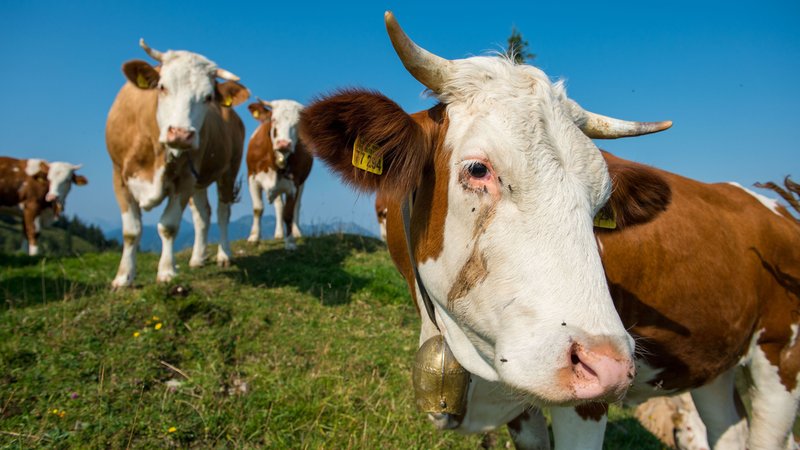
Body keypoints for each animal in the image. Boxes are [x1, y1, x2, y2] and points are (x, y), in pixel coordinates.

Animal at [106, 39, 249, 288]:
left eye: (208, 97)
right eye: (162, 87)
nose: (181, 134)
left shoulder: (185, 180)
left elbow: (168, 226)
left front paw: (166, 271)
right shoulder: (119, 176)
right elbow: (131, 231)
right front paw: (123, 278)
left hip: (228, 169)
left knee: (222, 211)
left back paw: (224, 255)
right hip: (200, 180)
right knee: (203, 214)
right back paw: (197, 258)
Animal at [245, 99, 313, 250]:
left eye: (298, 124)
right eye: (274, 119)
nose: (284, 143)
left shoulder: (294, 185)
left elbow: (288, 213)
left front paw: (290, 242)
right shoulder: (252, 178)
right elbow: (258, 209)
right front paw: (254, 237)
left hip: (302, 183)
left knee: (297, 206)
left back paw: (297, 232)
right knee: (279, 206)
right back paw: (279, 234)